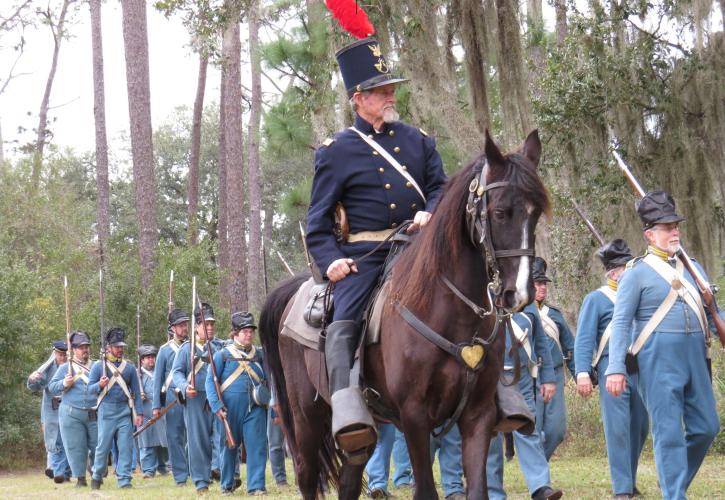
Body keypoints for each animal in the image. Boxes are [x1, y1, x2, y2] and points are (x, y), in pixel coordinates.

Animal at [260, 130, 548, 500]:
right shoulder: (414, 416)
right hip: (307, 418)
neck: (448, 312)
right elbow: (424, 488)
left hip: (360, 435)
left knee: (349, 479)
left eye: (536, 213)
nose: (519, 293)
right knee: (306, 475)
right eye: (499, 213)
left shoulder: (478, 415)